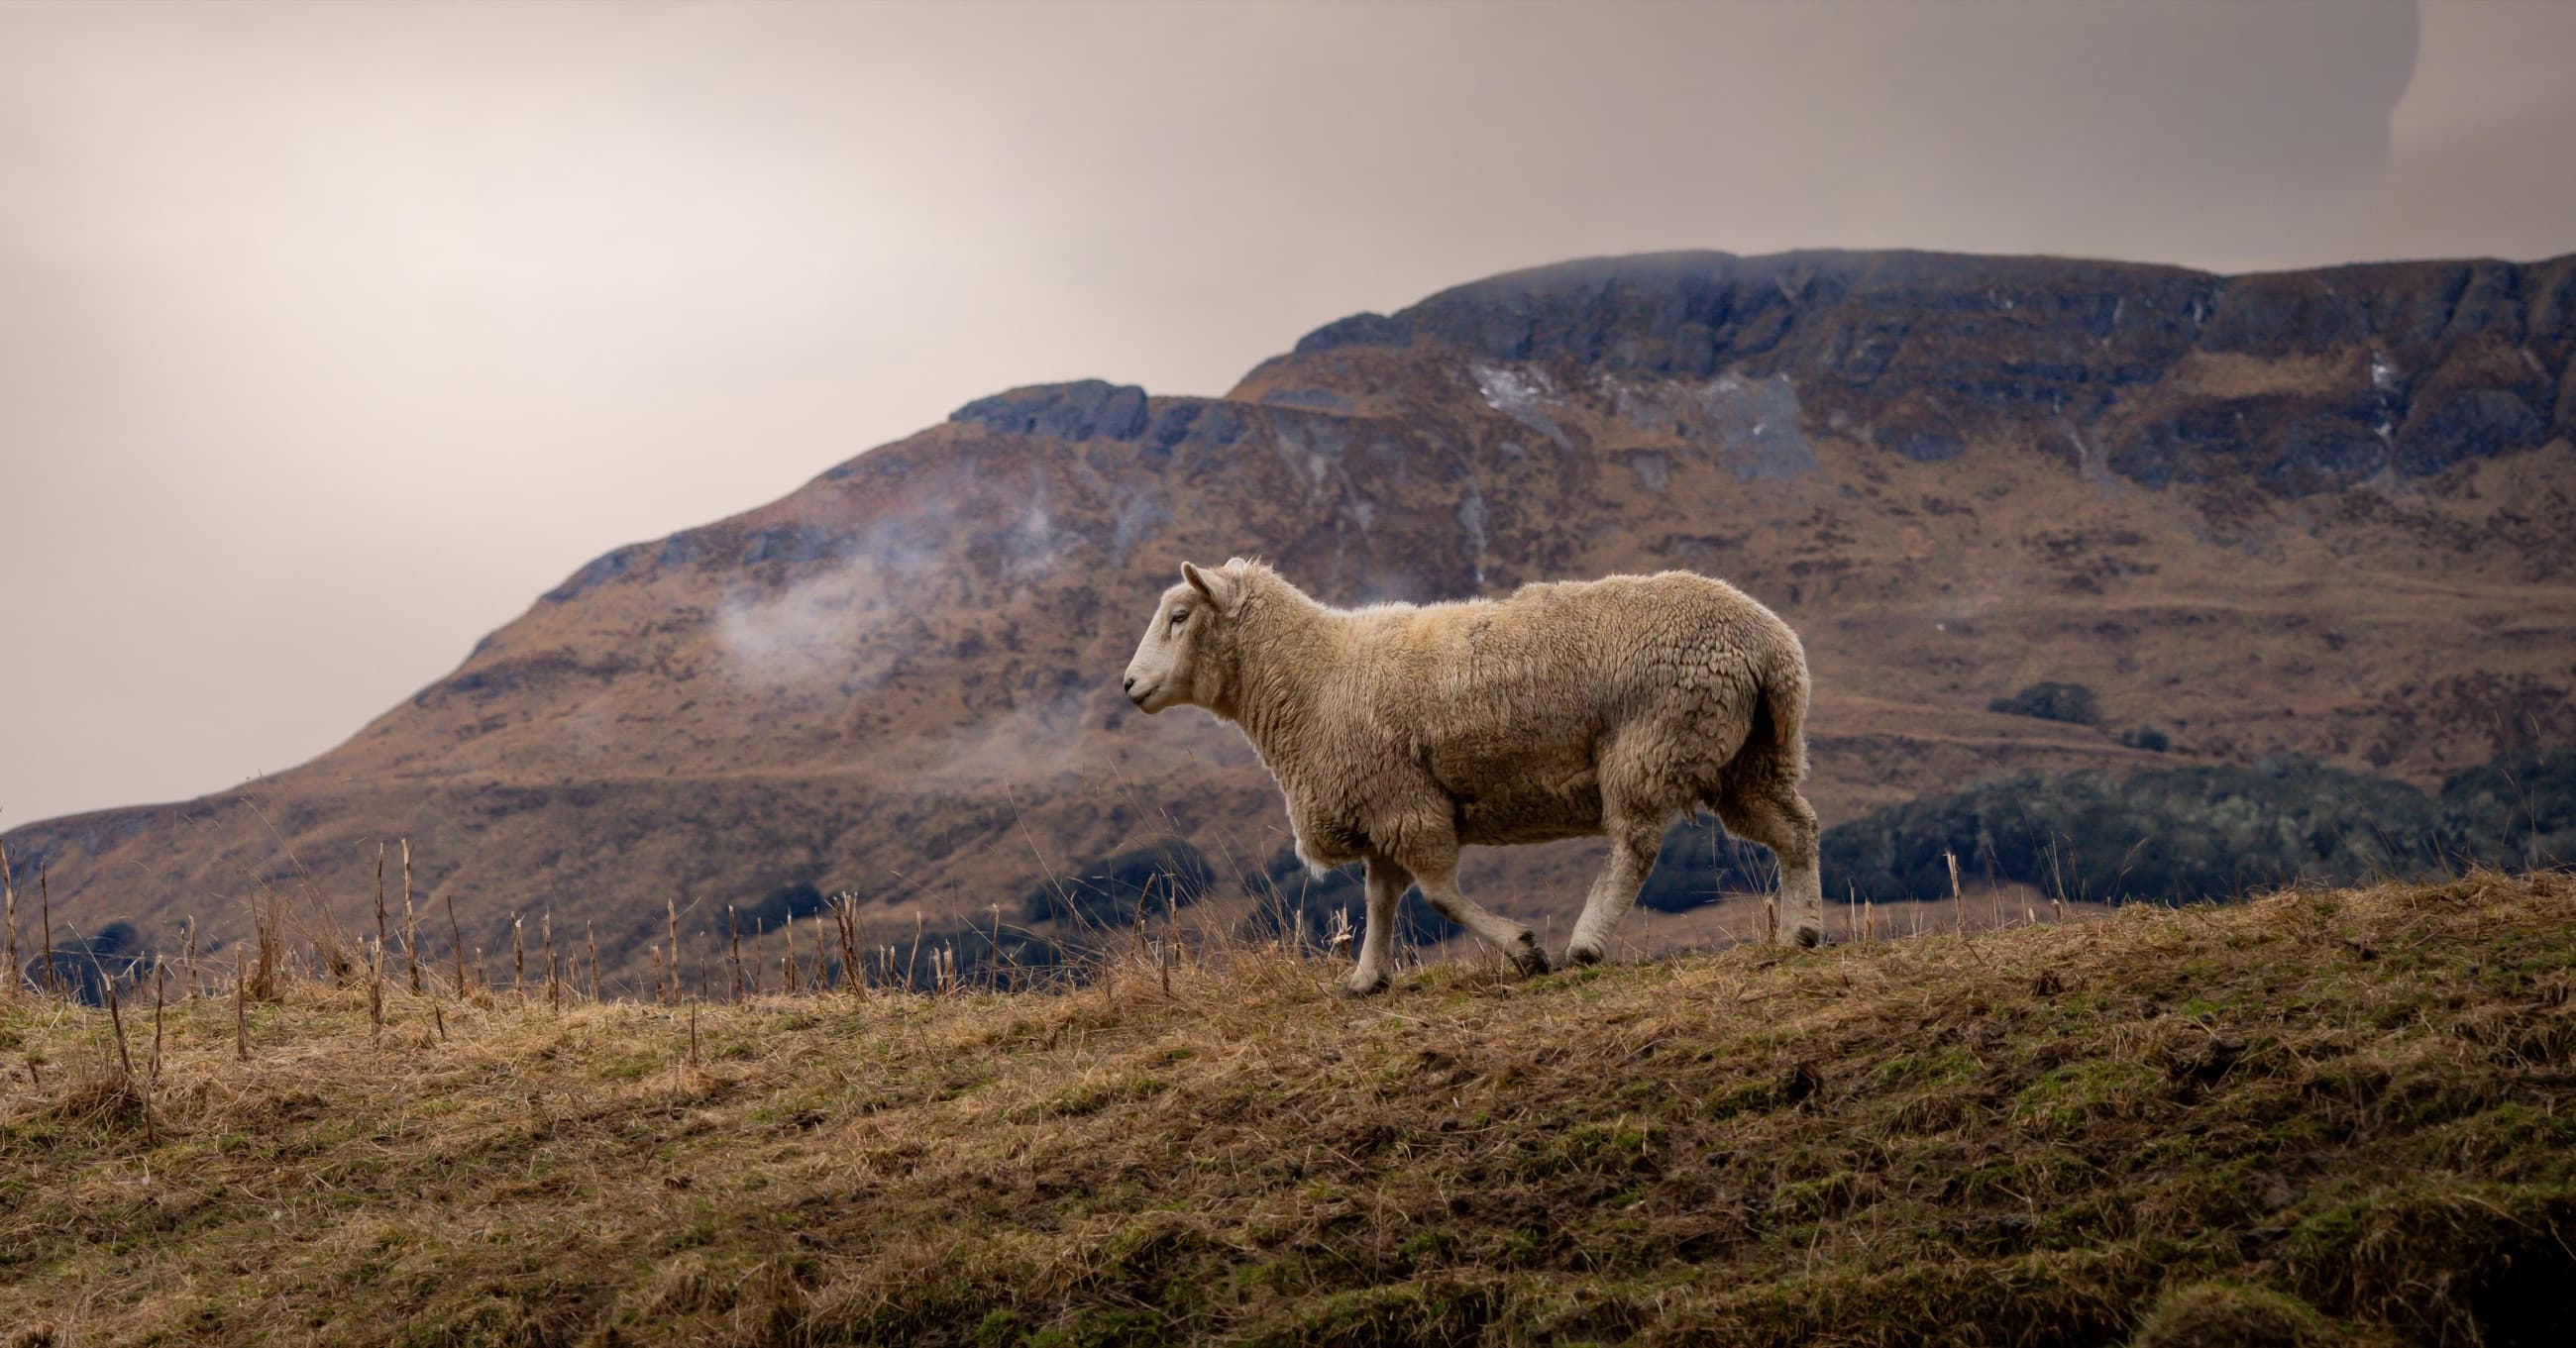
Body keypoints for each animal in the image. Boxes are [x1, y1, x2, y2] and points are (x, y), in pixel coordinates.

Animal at [1121, 558, 1824, 994]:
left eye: (1180, 616)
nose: (1129, 685)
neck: (1315, 674)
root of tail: (1769, 646)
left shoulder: (1406, 802)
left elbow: (1437, 894)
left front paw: (1522, 949)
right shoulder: (1383, 808)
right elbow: (1380, 899)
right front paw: (1367, 978)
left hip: (1653, 739)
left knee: (1635, 847)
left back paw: (1587, 943)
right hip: (1746, 757)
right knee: (1797, 830)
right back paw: (1802, 931)